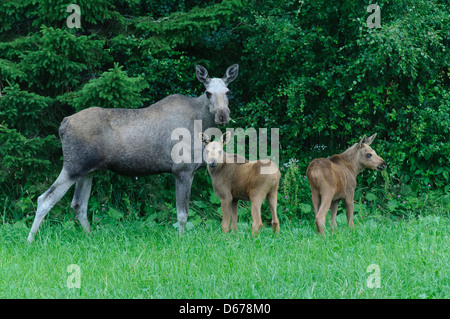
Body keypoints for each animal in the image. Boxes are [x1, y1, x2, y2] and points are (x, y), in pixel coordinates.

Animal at [27, 63, 239, 242]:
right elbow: (182, 215)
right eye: (208, 92)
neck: (202, 123)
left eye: (228, 91)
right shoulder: (182, 170)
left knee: (78, 204)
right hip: (73, 166)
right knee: (45, 199)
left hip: (87, 171)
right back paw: (30, 241)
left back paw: (90, 237)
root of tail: (63, 124)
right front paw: (181, 241)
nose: (222, 115)